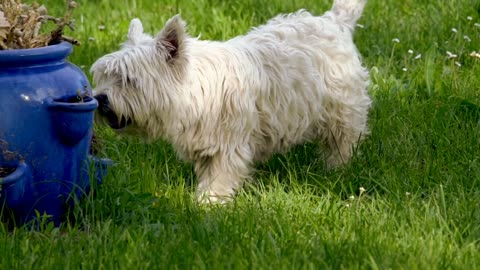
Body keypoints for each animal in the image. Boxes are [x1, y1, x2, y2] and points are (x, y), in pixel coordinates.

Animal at [93, 0, 372, 202]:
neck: (195, 91)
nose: (99, 98)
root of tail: (334, 21)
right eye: (104, 76)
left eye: (128, 79)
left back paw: (336, 169)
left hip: (342, 110)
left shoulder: (228, 145)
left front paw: (207, 204)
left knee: (343, 142)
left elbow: (220, 177)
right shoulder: (206, 146)